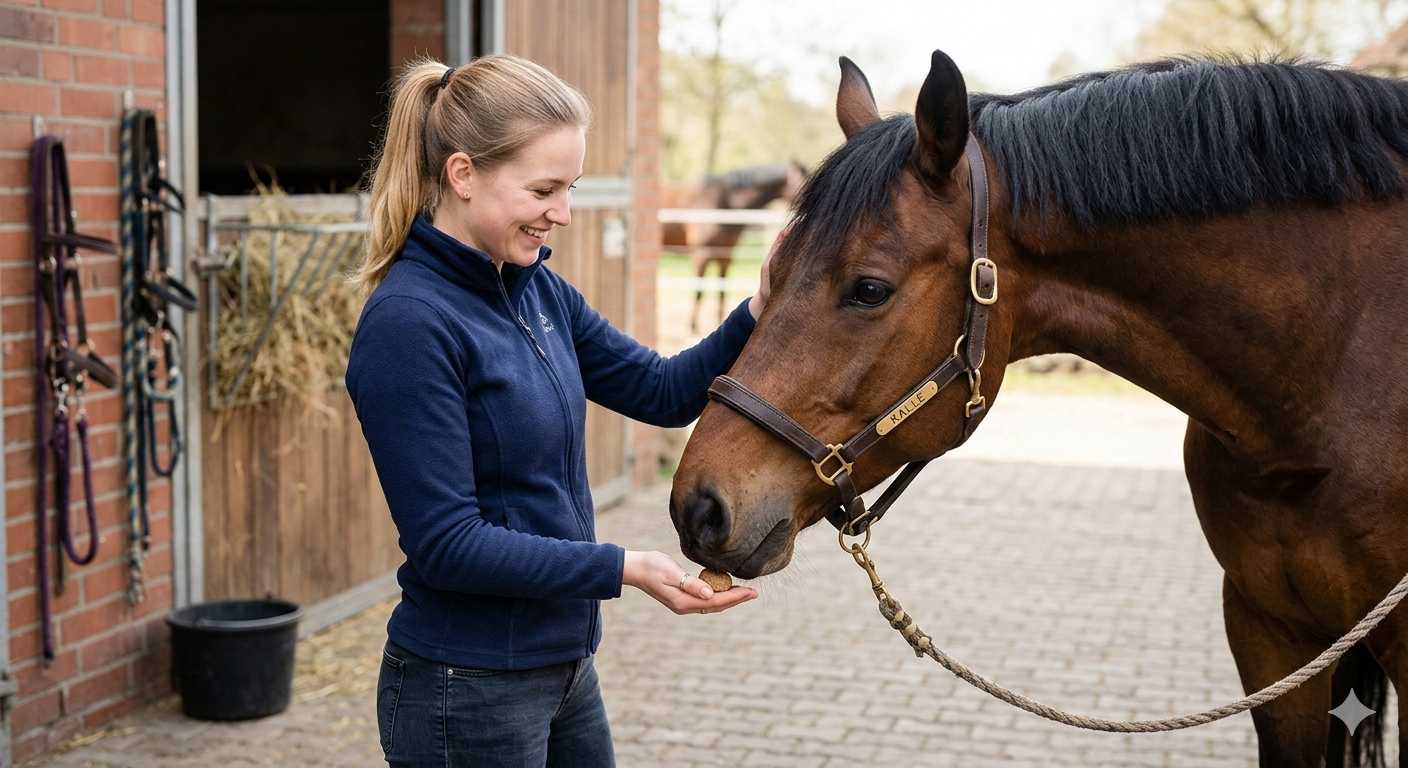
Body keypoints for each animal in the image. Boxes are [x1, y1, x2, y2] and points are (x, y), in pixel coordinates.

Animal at [661, 161, 807, 332]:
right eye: (804, 180)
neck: (725, 202)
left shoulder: (726, 255)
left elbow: (722, 291)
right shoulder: (701, 254)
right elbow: (699, 290)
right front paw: (692, 326)